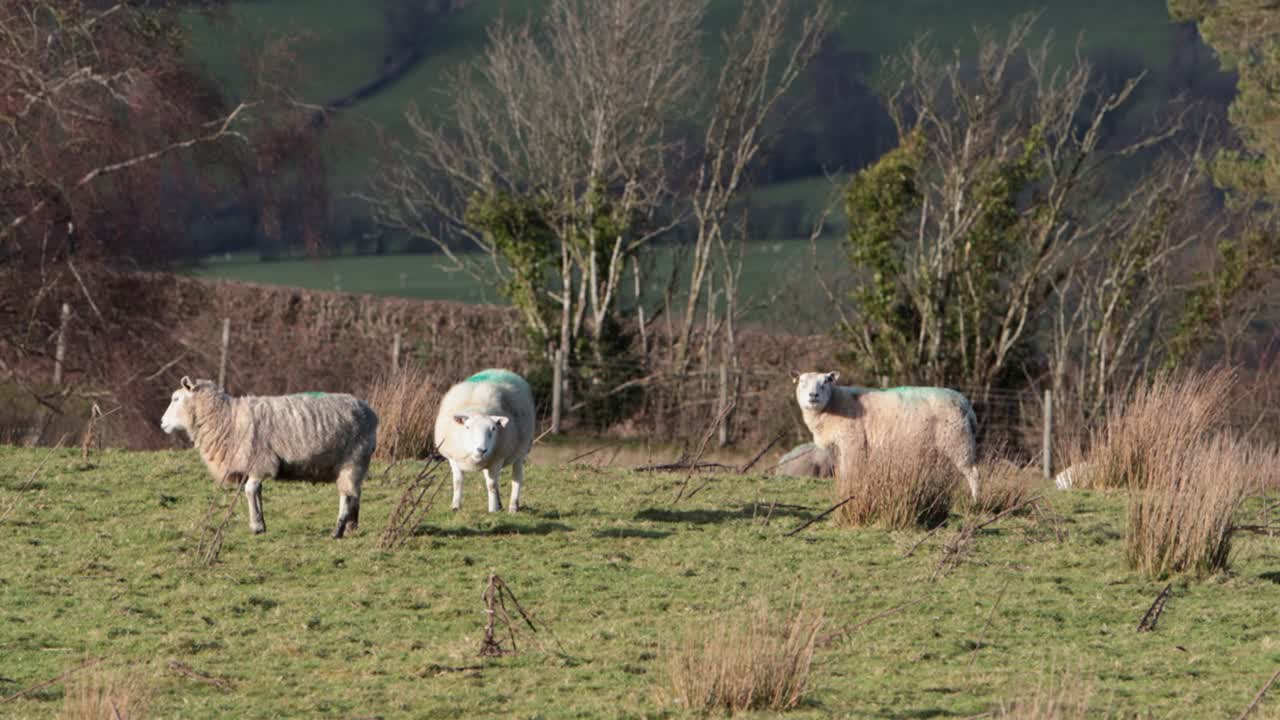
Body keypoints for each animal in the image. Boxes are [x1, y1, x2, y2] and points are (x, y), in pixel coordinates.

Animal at [160, 376, 378, 538]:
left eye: (176, 399)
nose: (162, 423)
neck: (228, 418)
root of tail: (370, 412)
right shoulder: (253, 465)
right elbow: (258, 492)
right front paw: (261, 522)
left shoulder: (259, 462)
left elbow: (250, 490)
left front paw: (256, 525)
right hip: (353, 464)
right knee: (355, 492)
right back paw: (351, 525)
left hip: (352, 459)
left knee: (347, 495)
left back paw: (338, 530)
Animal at [433, 369, 536, 513]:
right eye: (467, 427)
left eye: (493, 428)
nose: (481, 450)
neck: (477, 407)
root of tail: (500, 370)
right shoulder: (453, 458)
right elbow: (458, 482)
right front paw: (455, 506)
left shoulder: (498, 458)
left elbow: (492, 485)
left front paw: (492, 510)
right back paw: (500, 504)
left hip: (521, 451)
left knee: (516, 478)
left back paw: (513, 506)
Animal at [791, 370, 980, 499]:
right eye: (802, 383)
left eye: (824, 383)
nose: (813, 395)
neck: (833, 404)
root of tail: (966, 404)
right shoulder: (839, 448)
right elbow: (843, 471)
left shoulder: (852, 442)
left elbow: (849, 472)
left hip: (958, 440)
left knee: (973, 473)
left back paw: (975, 500)